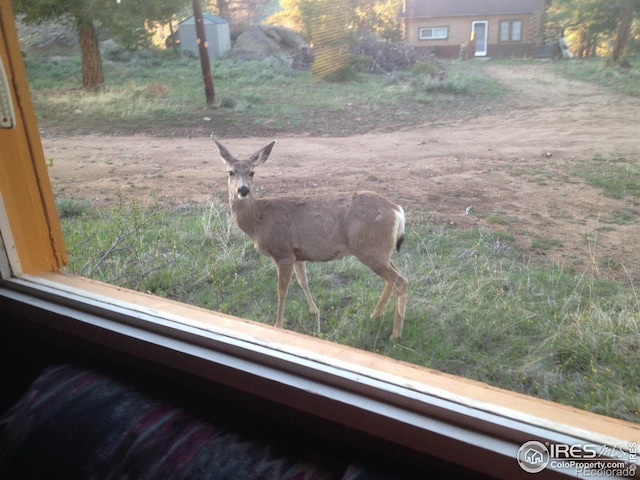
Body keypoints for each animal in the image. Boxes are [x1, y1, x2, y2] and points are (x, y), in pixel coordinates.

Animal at [212, 139, 408, 340]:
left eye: (252, 172)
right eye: (230, 172)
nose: (243, 190)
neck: (259, 220)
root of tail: (398, 211)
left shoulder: (283, 253)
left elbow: (282, 289)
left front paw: (278, 325)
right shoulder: (297, 253)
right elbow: (303, 281)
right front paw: (314, 310)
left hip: (369, 249)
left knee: (401, 282)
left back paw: (395, 334)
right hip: (379, 250)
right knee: (395, 276)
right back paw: (375, 314)